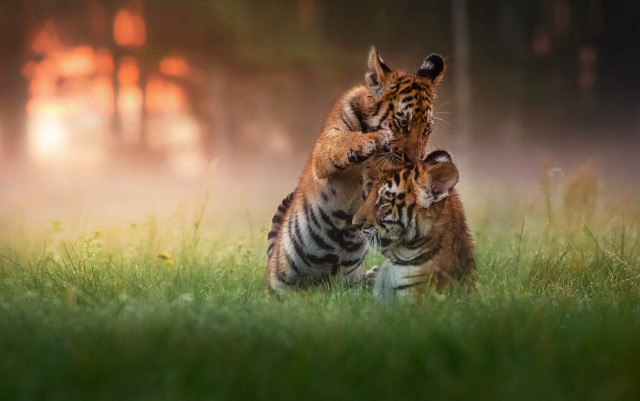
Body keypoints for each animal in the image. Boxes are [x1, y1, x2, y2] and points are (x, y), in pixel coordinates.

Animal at [266, 47, 446, 295]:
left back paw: (372, 277)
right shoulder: (326, 146)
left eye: (427, 128)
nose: (413, 160)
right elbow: (344, 141)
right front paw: (371, 141)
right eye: (403, 124)